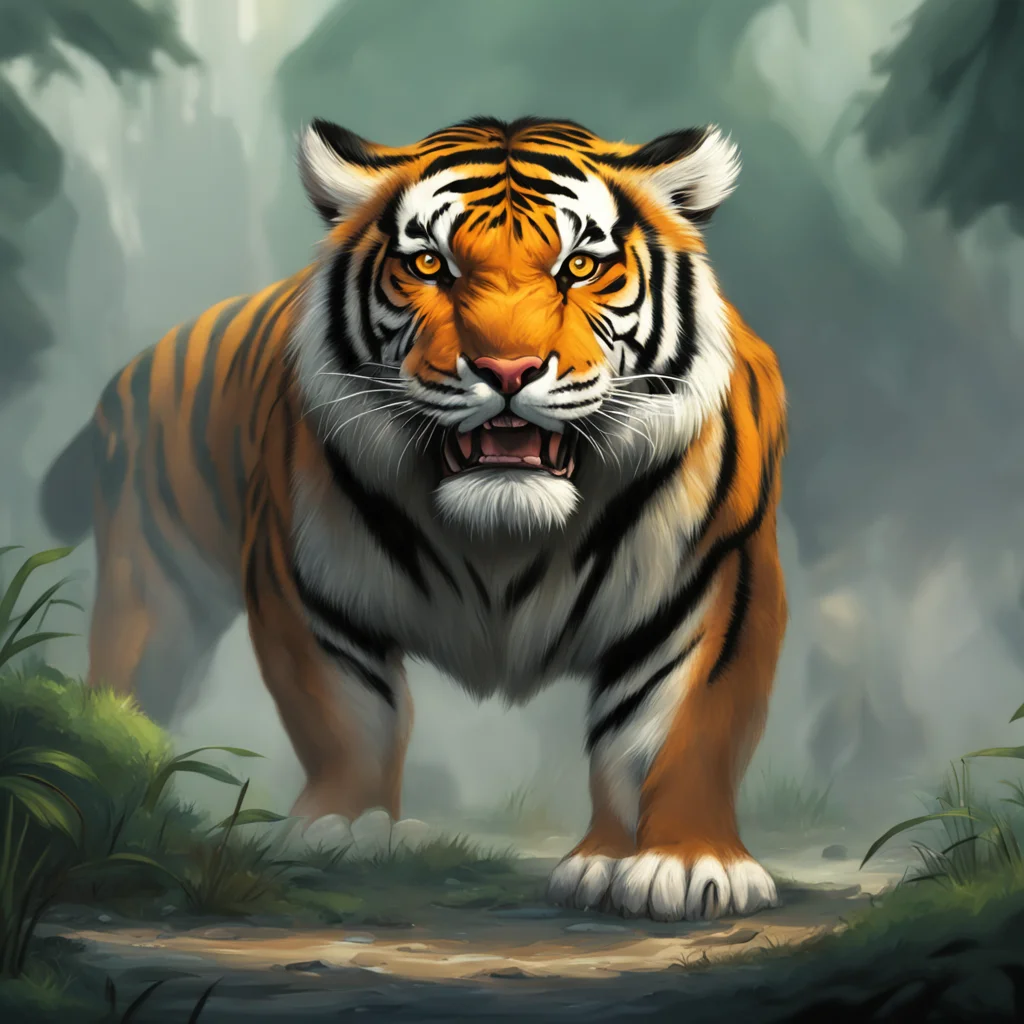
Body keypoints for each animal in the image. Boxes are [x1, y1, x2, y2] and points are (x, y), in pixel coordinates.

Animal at [40, 115, 788, 922]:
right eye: (431, 265)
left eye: (581, 267)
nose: (508, 370)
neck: (505, 538)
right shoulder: (305, 590)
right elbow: (346, 718)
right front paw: (348, 828)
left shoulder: (713, 587)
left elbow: (681, 728)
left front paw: (681, 862)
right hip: (152, 597)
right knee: (122, 698)